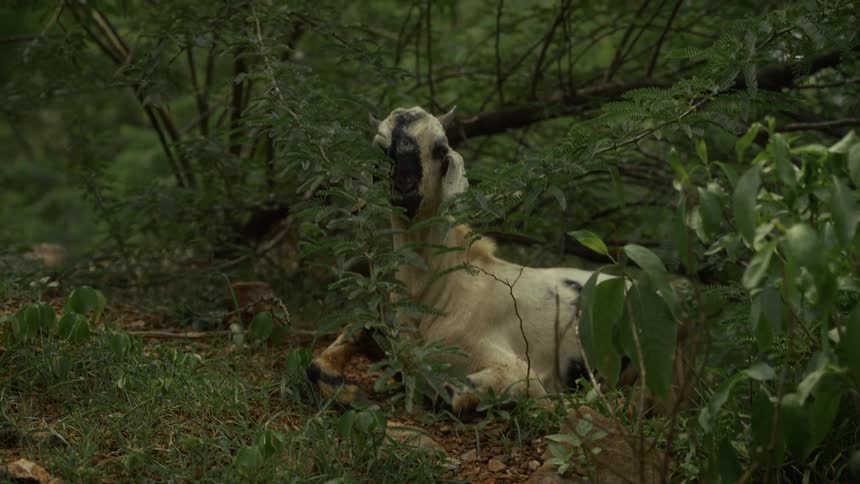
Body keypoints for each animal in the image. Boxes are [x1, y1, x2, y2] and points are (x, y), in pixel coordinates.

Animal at [307, 106, 615, 413]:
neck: (441, 293)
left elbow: (446, 393)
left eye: (440, 148)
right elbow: (322, 358)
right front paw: (350, 392)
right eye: (382, 149)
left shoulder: (520, 373)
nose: (404, 189)